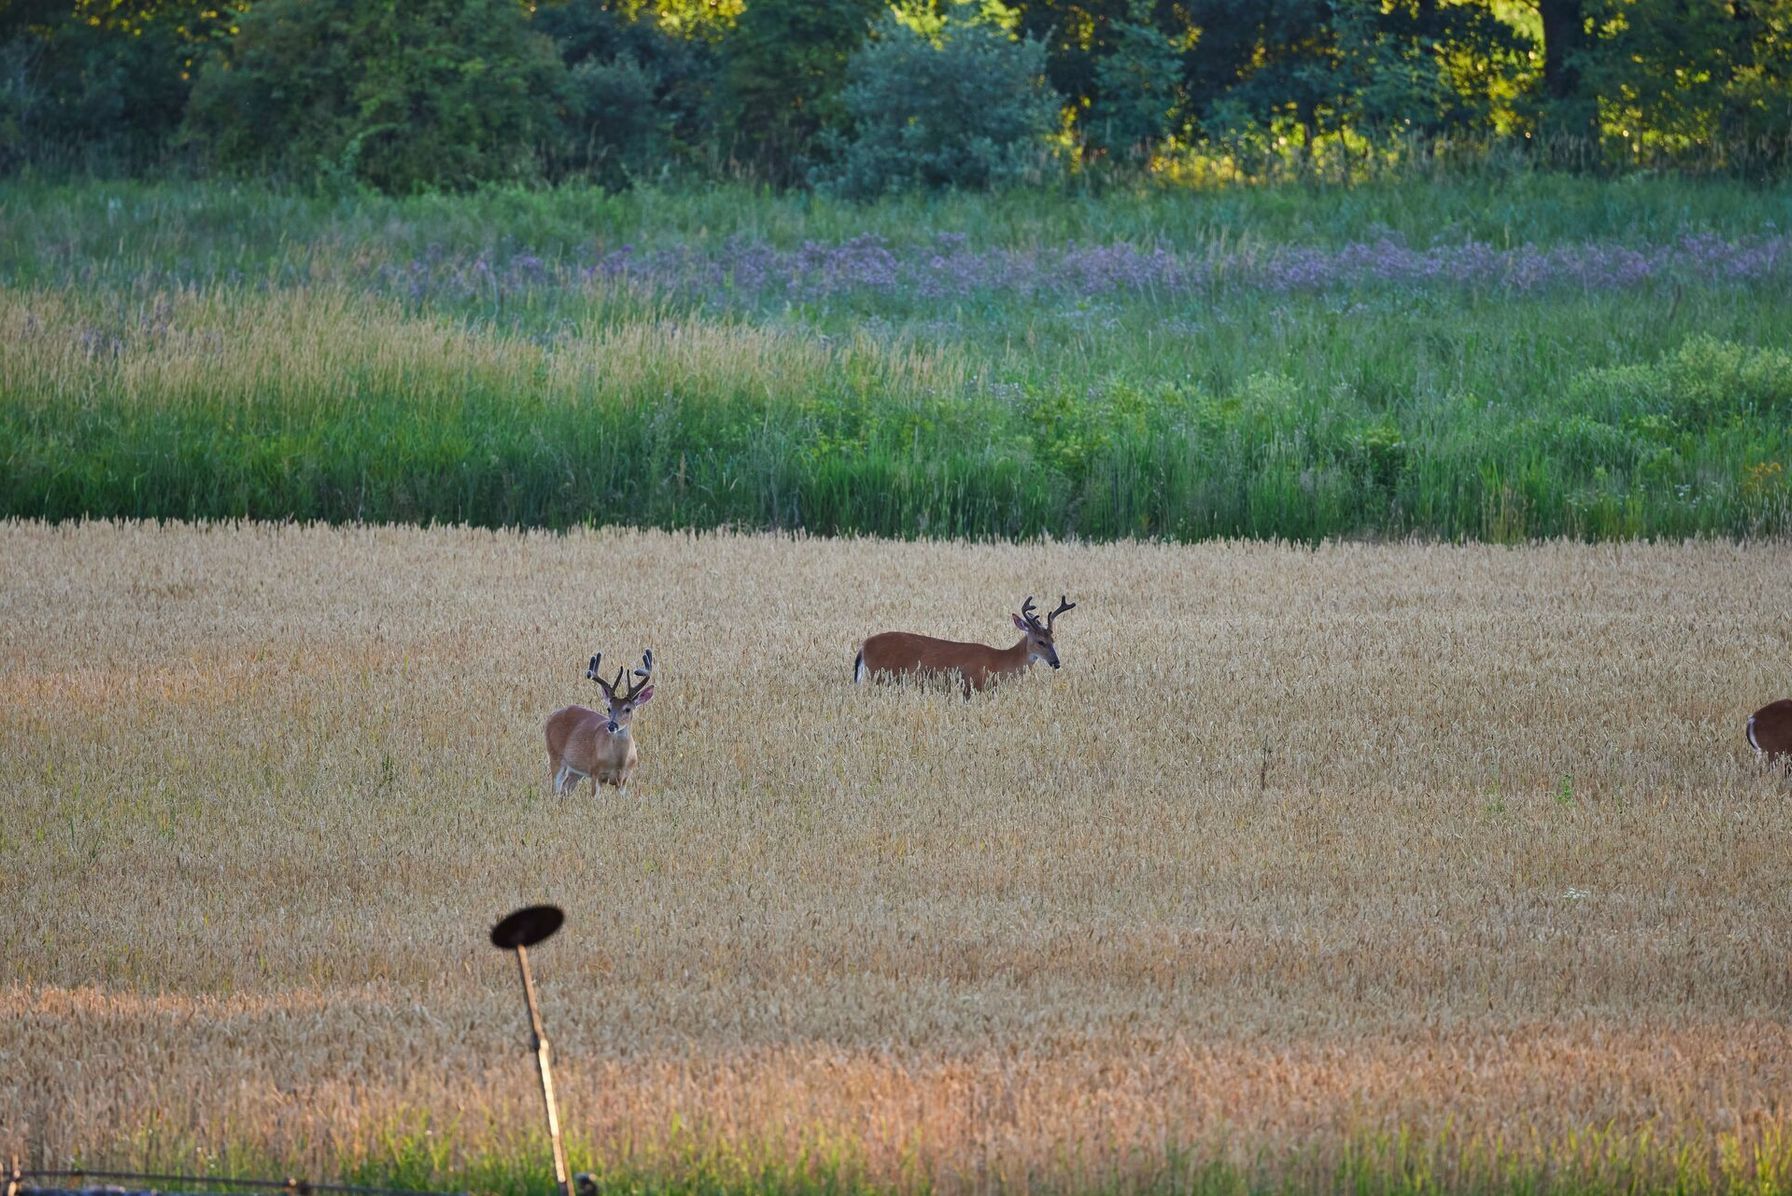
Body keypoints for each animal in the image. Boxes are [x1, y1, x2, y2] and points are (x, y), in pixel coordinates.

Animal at [545, 649, 654, 794]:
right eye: (609, 708)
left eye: (628, 709)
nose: (612, 725)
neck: (619, 762)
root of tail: (552, 716)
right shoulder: (596, 772)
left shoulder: (624, 780)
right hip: (555, 756)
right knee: (555, 789)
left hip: (576, 770)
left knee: (565, 787)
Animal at [854, 595, 1075, 696]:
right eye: (1040, 642)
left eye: (1053, 640)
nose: (1056, 663)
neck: (999, 662)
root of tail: (863, 646)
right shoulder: (971, 685)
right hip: (880, 675)